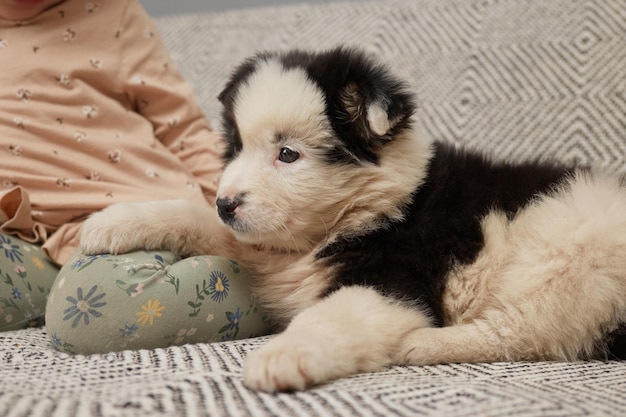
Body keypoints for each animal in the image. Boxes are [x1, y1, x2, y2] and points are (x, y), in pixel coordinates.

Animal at [80, 47, 624, 392]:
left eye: (288, 154)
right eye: (234, 148)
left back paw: (421, 342)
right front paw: (115, 221)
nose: (226, 202)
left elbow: (332, 314)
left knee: (527, 331)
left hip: (567, 244)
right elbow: (199, 218)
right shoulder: (268, 241)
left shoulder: (392, 276)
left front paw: (284, 357)